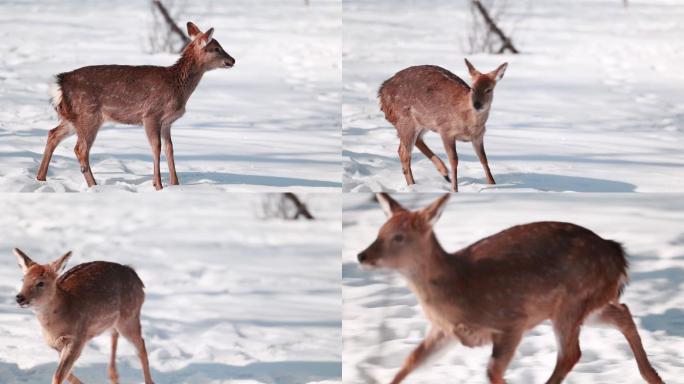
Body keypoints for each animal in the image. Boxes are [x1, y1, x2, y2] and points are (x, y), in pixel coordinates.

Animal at [13, 249, 155, 384]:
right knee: (116, 337)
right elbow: (66, 374)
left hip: (129, 316)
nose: (19, 297)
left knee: (141, 345)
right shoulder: (57, 345)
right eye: (23, 280)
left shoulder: (77, 338)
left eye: (40, 283)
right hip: (113, 323)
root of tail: (138, 280)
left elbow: (58, 375)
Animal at [36, 21, 235, 190]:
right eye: (216, 48)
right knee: (80, 149)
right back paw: (94, 186)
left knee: (52, 134)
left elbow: (169, 149)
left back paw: (41, 178)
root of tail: (60, 83)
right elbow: (156, 148)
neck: (177, 85)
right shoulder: (150, 114)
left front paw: (175, 184)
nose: (232, 60)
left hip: (74, 117)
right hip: (88, 114)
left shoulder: (167, 122)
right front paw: (158, 186)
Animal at [358, 195, 664, 384]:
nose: (362, 255)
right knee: (622, 312)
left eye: (398, 237)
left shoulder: (512, 321)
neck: (458, 285)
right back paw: (653, 376)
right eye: (379, 231)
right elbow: (410, 361)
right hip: (587, 304)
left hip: (572, 301)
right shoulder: (443, 331)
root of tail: (617, 254)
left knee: (571, 353)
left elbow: (493, 371)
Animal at [380, 59, 508, 192]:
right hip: (405, 119)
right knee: (404, 153)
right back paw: (413, 186)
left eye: (489, 89)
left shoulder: (478, 136)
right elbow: (454, 160)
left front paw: (493, 185)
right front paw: (455, 190)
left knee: (415, 142)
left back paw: (444, 174)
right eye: (473, 88)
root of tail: (381, 93)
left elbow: (483, 159)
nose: (477, 104)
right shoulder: (446, 130)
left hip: (422, 123)